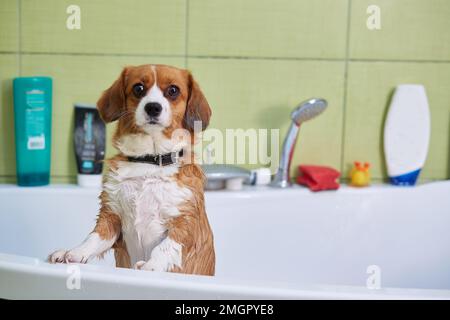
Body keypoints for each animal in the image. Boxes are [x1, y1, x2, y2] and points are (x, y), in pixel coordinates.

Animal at [48, 64, 216, 276]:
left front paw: (152, 265)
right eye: (138, 88)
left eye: (173, 90)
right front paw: (75, 252)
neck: (150, 163)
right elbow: (93, 238)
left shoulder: (184, 223)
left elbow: (165, 247)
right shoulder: (111, 217)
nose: (153, 107)